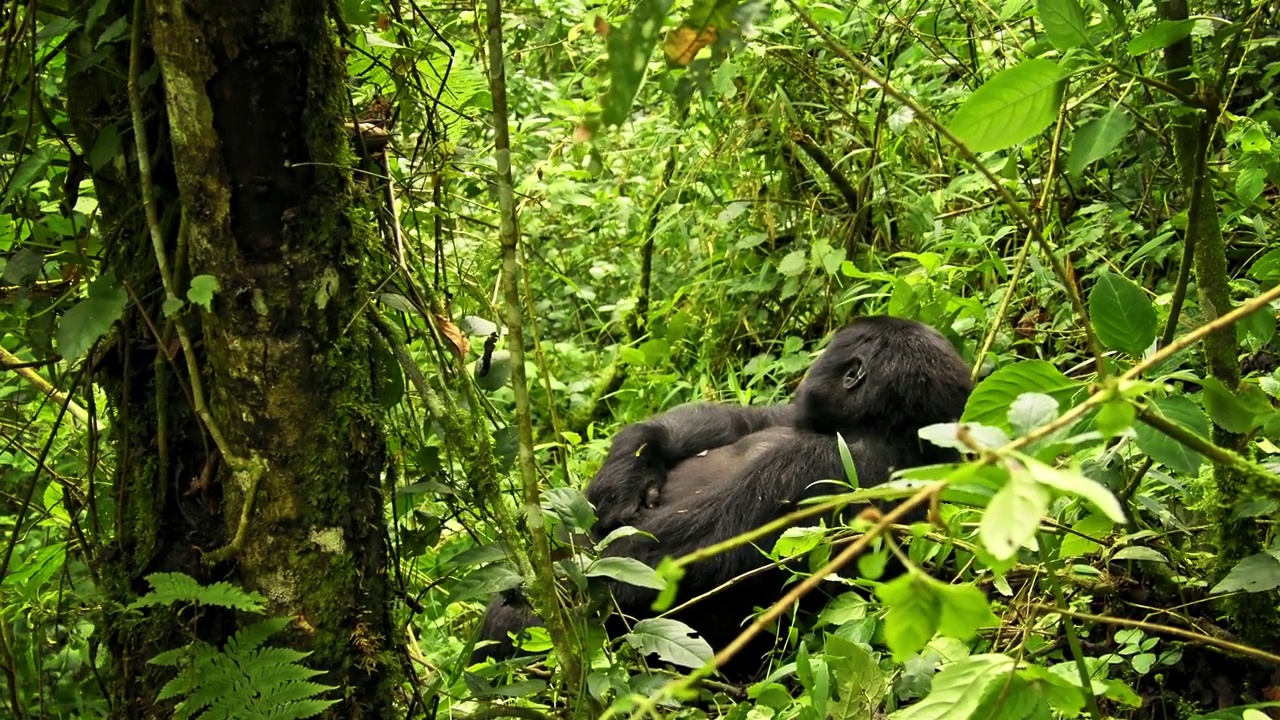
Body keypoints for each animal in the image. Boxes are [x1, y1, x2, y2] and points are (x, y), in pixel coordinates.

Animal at [471, 315, 967, 676]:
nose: (807, 374)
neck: (889, 429)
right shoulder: (799, 422)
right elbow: (734, 420)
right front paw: (625, 476)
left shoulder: (819, 469)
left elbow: (678, 557)